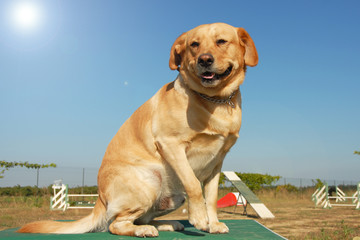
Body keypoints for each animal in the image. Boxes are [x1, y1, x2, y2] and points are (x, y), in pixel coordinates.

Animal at [19, 22, 256, 236]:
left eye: (221, 41)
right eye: (194, 45)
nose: (204, 60)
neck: (215, 100)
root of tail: (101, 198)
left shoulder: (217, 162)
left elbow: (212, 198)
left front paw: (213, 224)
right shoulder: (171, 144)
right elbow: (194, 185)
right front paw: (199, 219)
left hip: (171, 196)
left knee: (141, 218)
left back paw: (167, 224)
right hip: (150, 181)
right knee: (115, 224)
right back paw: (144, 230)